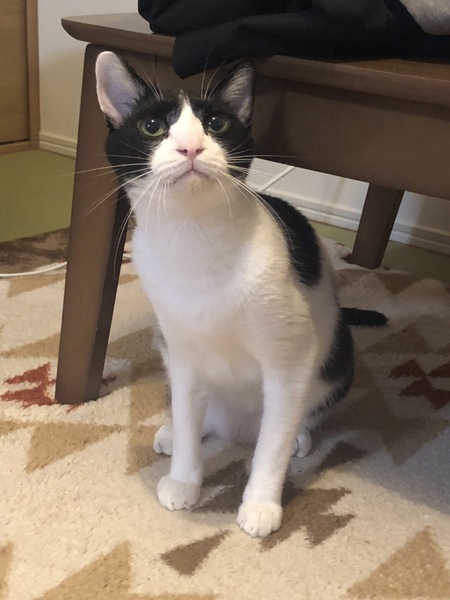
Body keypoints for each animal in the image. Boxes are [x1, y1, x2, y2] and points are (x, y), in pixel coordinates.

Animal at [95, 51, 385, 538]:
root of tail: (237, 429)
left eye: (216, 123)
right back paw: (176, 432)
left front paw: (261, 503)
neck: (194, 239)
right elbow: (188, 408)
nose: (190, 148)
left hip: (337, 359)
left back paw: (298, 436)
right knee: (197, 412)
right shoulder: (184, 350)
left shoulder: (290, 357)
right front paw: (184, 479)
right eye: (153, 126)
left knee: (295, 415)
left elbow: (274, 440)